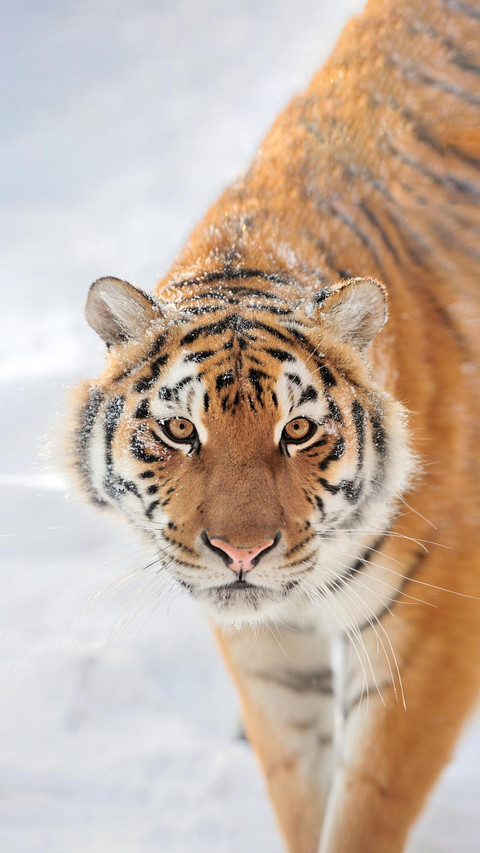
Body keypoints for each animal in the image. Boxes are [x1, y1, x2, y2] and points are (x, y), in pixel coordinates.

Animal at [67, 0, 480, 850]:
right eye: (180, 430)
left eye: (296, 431)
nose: (240, 553)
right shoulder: (267, 649)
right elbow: (298, 784)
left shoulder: (427, 631)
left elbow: (365, 805)